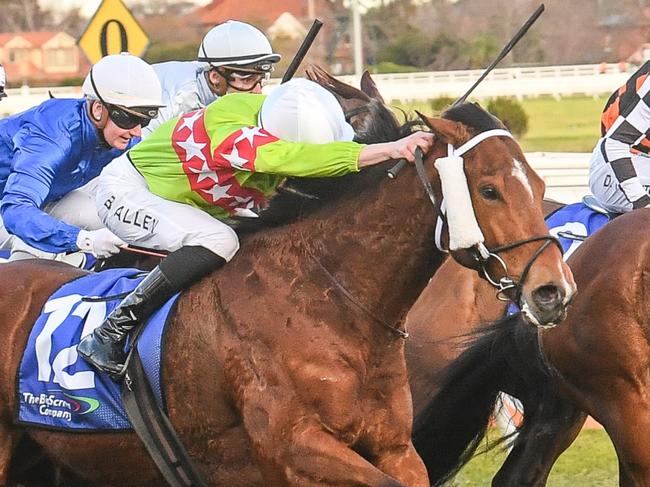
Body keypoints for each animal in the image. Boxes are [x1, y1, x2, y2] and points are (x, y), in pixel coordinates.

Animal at [0, 89, 572, 486]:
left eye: (541, 186)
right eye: (490, 190)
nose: (553, 291)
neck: (329, 302)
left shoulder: (393, 445)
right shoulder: (295, 449)